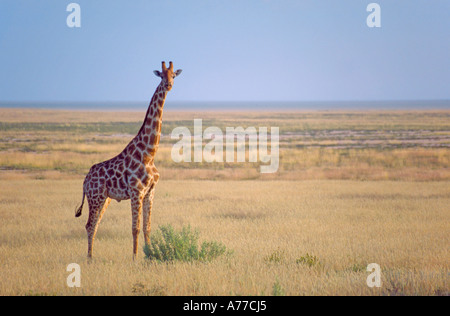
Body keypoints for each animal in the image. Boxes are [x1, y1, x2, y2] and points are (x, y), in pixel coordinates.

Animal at [76, 61, 183, 260]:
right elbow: (135, 228)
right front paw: (134, 258)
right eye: (161, 75)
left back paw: (91, 257)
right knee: (89, 225)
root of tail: (85, 180)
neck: (149, 153)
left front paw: (150, 255)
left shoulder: (150, 192)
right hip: (95, 197)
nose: (169, 85)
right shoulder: (136, 192)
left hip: (105, 198)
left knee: (95, 224)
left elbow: (147, 228)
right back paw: (89, 259)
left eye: (173, 75)